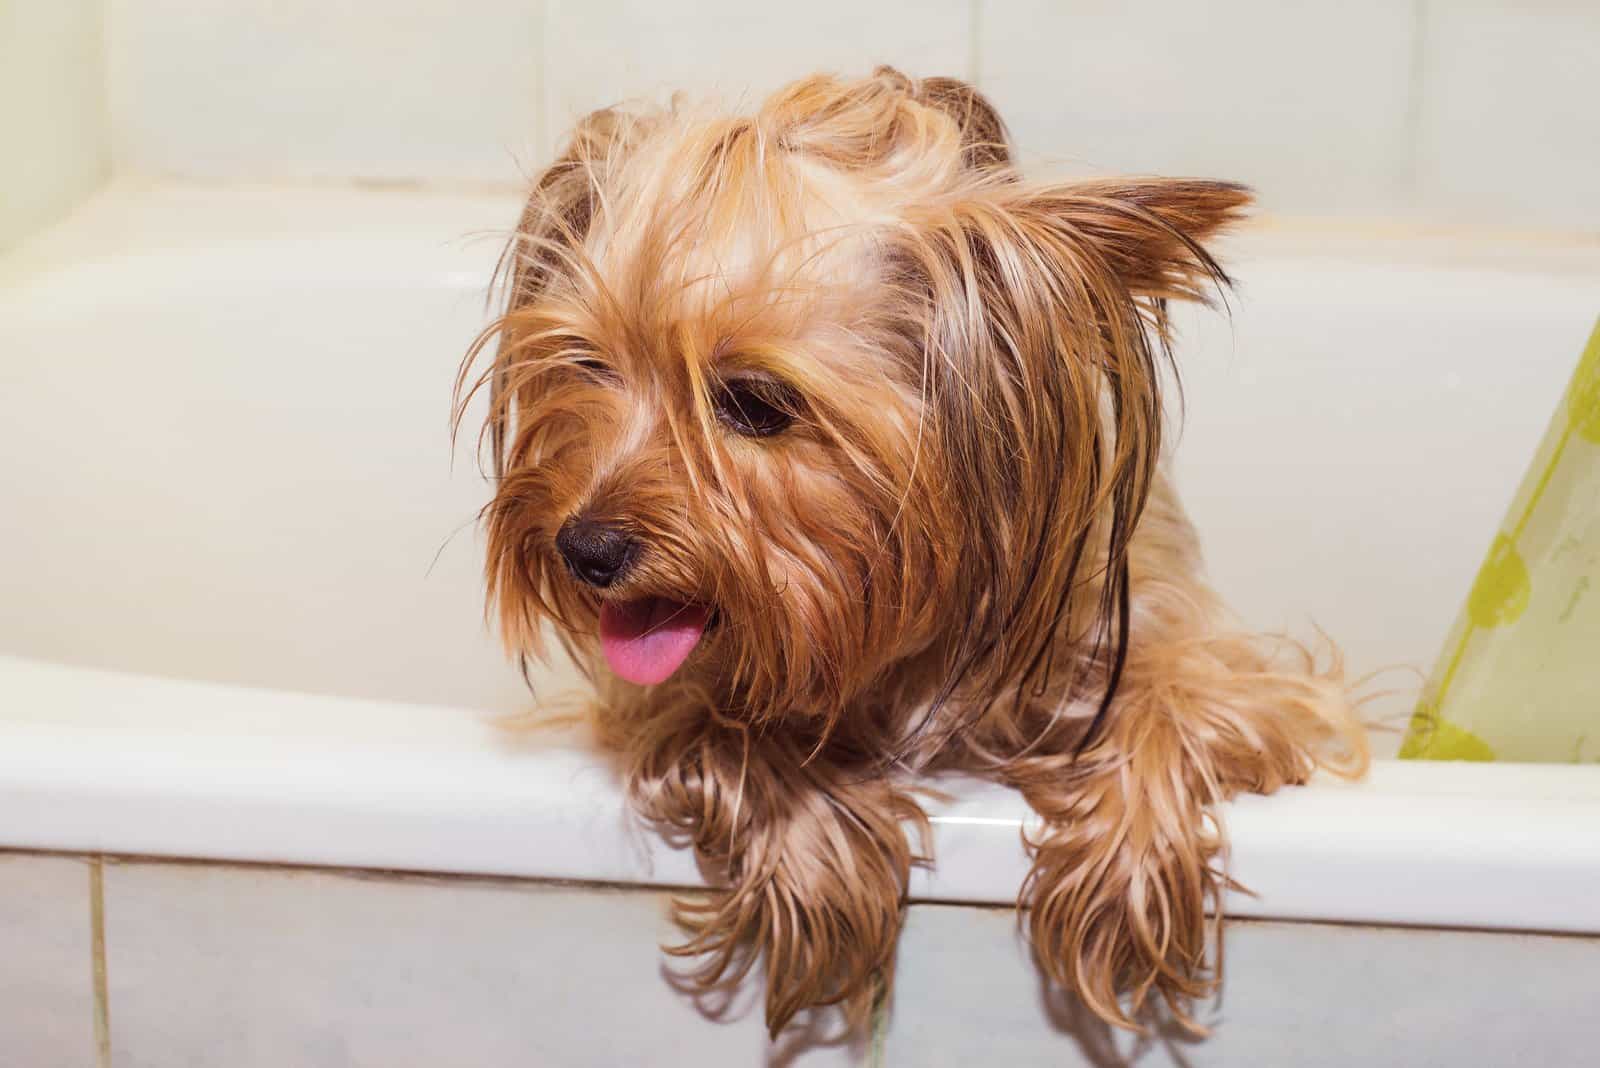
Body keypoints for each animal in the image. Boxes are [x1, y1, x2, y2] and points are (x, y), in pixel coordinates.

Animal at [457, 66, 1369, 1036]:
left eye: (754, 402)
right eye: (587, 365)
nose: (584, 549)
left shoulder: (1221, 665)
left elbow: (1182, 702)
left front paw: (1124, 885)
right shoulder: (656, 700)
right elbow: (718, 723)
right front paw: (817, 857)